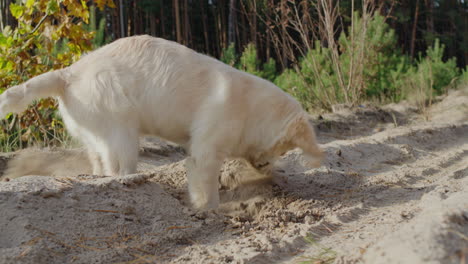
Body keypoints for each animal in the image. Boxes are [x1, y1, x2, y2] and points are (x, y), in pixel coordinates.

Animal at [0, 34, 322, 208]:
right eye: (284, 148)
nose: (267, 167)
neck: (249, 107)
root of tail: (69, 73)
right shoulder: (205, 150)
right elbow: (205, 183)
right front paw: (209, 210)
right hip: (122, 127)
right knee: (118, 167)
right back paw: (132, 180)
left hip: (97, 133)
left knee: (100, 162)